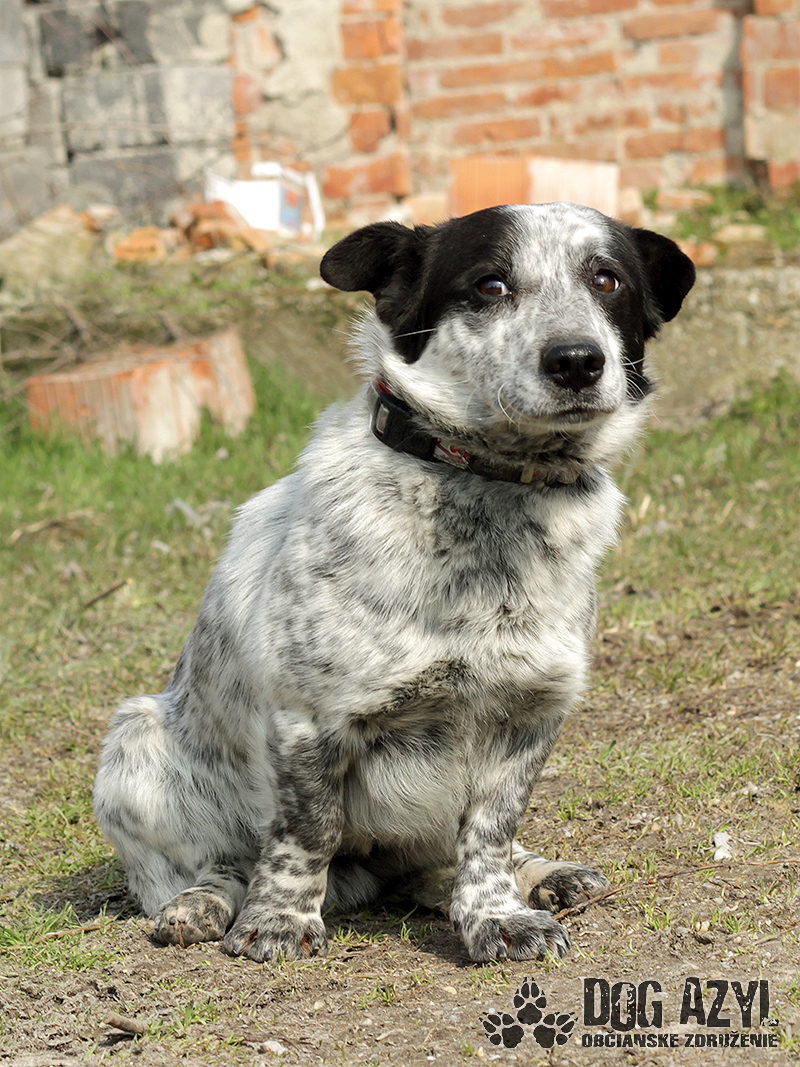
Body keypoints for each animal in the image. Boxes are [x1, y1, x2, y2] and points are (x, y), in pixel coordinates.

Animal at [94, 203, 695, 963]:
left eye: (607, 279)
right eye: (490, 284)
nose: (577, 361)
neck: (488, 493)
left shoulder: (530, 715)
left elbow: (490, 834)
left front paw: (500, 914)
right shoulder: (310, 720)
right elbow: (305, 832)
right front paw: (279, 919)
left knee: (444, 861)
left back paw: (540, 874)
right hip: (134, 745)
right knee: (209, 863)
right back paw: (202, 903)